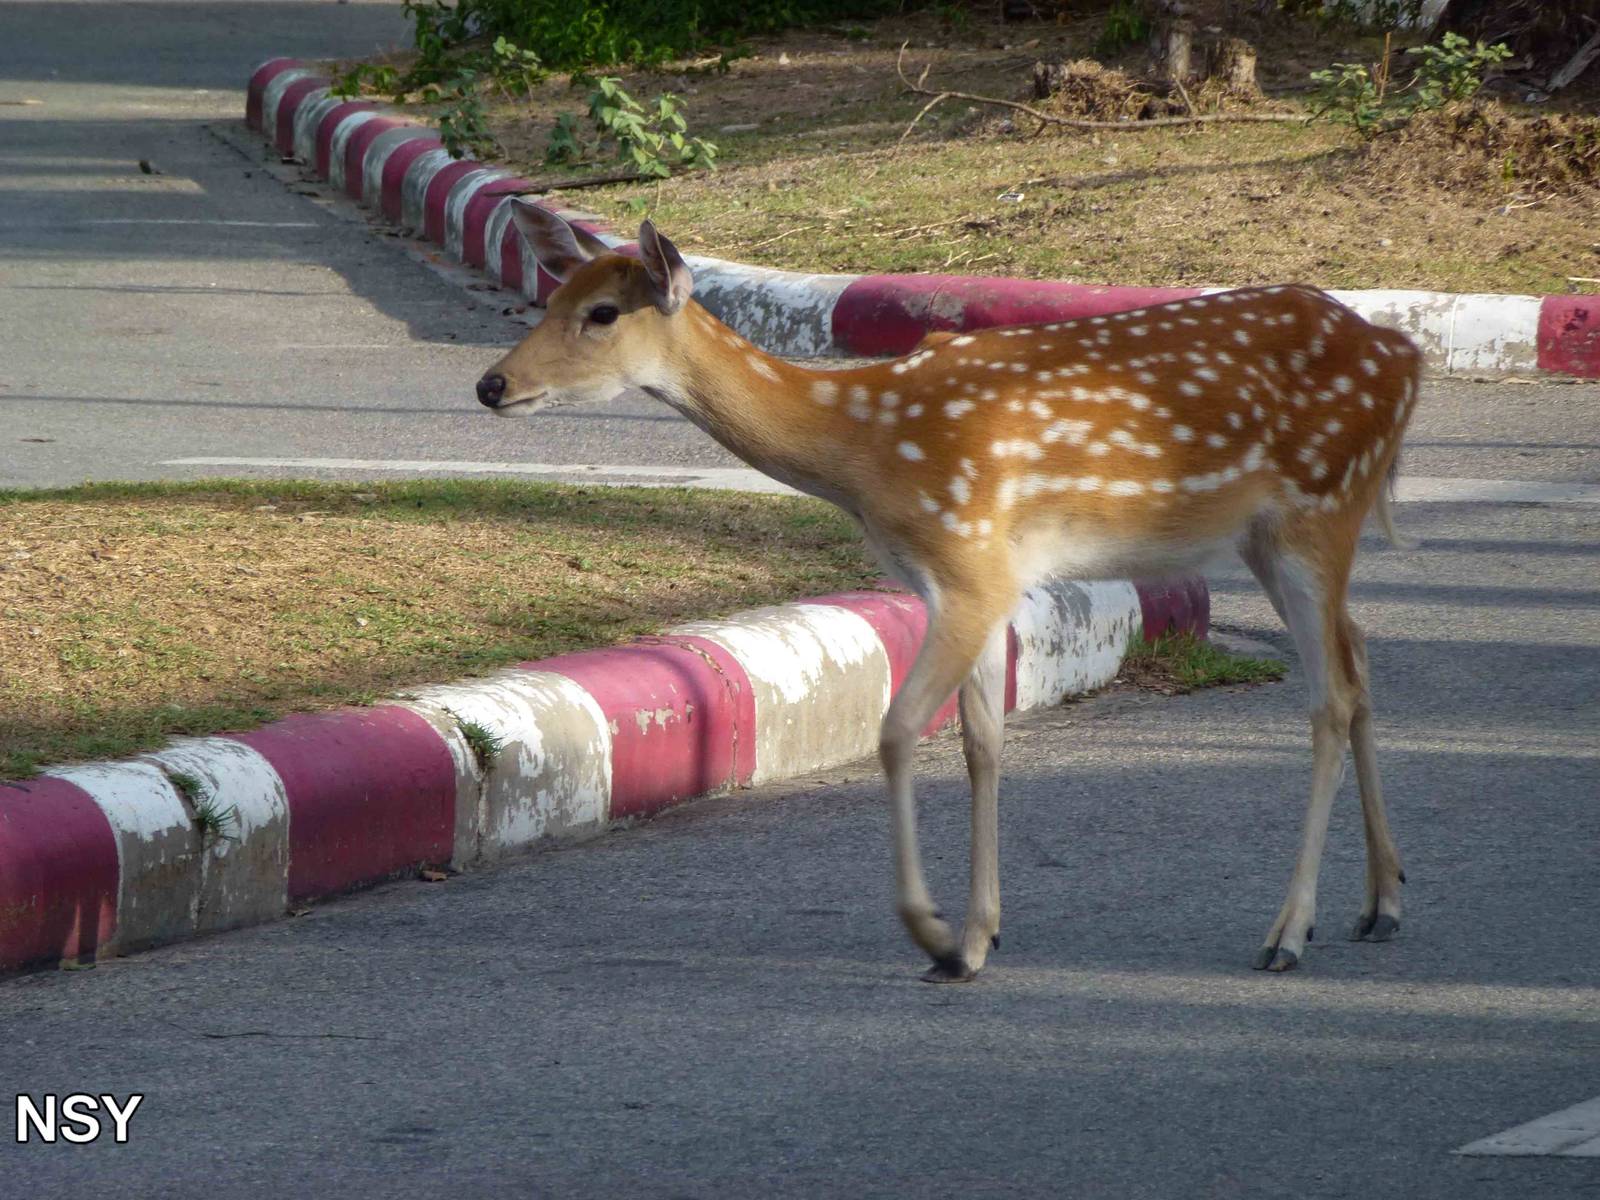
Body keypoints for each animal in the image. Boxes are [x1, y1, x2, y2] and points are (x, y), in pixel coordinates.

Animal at [476, 200, 1420, 982]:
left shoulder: (970, 565)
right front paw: (979, 936)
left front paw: (934, 936)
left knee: (1330, 698)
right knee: (1361, 659)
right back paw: (1381, 902)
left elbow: (897, 733)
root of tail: (1404, 359)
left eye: (602, 313)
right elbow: (981, 744)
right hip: (1273, 536)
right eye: (549, 300)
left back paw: (1288, 933)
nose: (492, 384)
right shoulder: (970, 582)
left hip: (1317, 510)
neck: (865, 447)